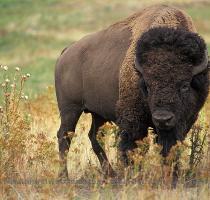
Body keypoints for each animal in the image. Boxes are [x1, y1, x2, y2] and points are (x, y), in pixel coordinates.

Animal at [55, 4, 209, 183]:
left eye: (184, 85)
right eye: (147, 85)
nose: (162, 118)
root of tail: (66, 52)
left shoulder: (183, 121)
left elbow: (170, 146)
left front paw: (172, 174)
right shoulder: (133, 119)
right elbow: (133, 146)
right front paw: (134, 174)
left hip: (97, 113)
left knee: (94, 136)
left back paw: (110, 173)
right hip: (70, 109)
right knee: (65, 136)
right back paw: (64, 176)